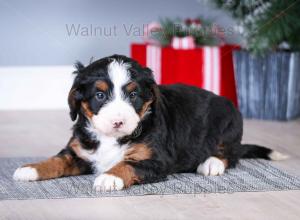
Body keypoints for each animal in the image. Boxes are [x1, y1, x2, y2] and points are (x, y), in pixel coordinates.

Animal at [12, 54, 288, 191]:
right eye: (100, 95)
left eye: (133, 94)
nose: (118, 121)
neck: (111, 139)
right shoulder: (79, 151)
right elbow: (57, 160)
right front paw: (31, 168)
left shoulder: (155, 160)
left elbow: (126, 165)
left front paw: (109, 177)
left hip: (228, 121)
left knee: (231, 153)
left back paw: (211, 164)